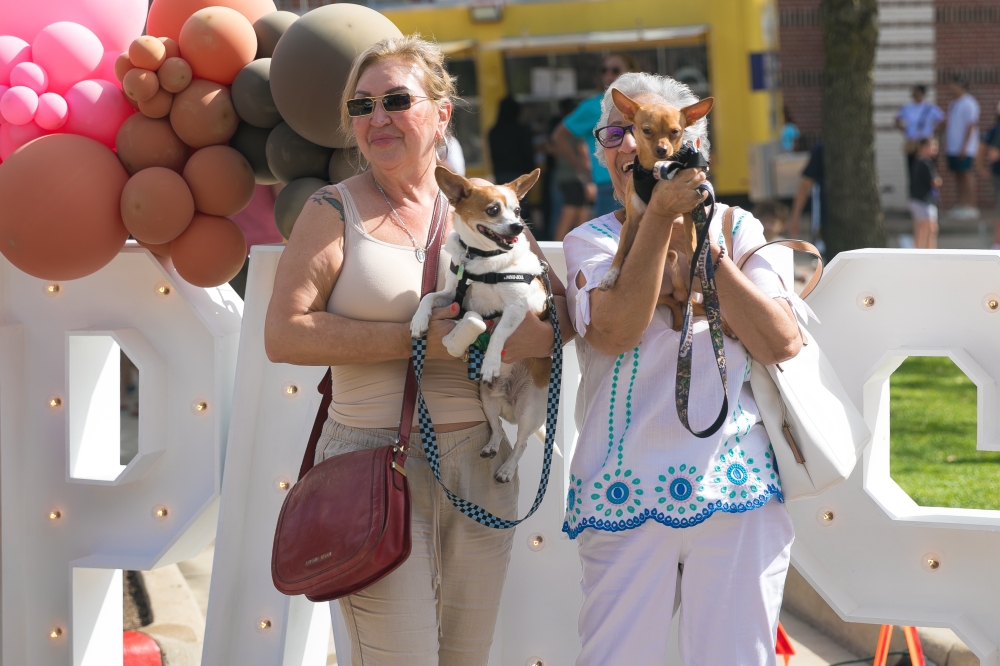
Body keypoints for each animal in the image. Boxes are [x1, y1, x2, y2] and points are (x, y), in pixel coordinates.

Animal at [412, 163, 552, 480]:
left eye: (517, 210)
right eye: (493, 210)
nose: (518, 226)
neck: (481, 260)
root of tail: (508, 402)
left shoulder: (520, 308)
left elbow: (497, 331)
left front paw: (489, 362)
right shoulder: (451, 295)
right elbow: (434, 299)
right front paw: (419, 322)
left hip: (529, 409)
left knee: (521, 443)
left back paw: (507, 469)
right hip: (486, 400)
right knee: (498, 429)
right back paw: (490, 447)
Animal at [596, 89, 716, 328]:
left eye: (675, 132)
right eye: (646, 130)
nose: (662, 149)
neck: (655, 172)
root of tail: (681, 292)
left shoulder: (689, 209)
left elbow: (690, 239)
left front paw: (693, 257)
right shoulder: (632, 222)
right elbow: (621, 250)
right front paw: (610, 275)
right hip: (659, 295)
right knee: (673, 305)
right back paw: (679, 323)